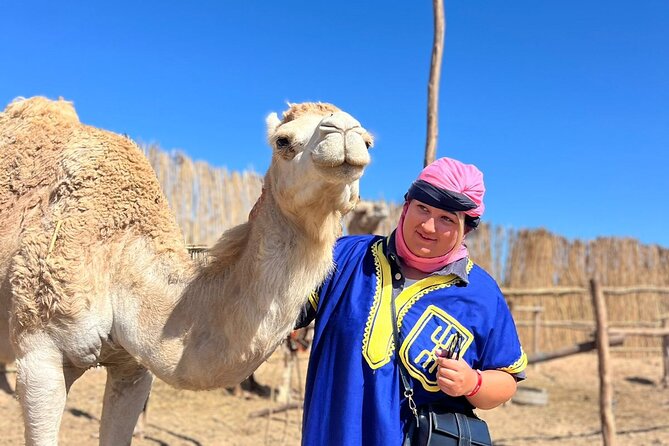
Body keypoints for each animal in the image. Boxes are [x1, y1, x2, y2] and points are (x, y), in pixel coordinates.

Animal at [0, 96, 372, 445]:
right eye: (283, 141)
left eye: (368, 143)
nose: (344, 131)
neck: (119, 251)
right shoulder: (40, 352)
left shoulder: (132, 367)